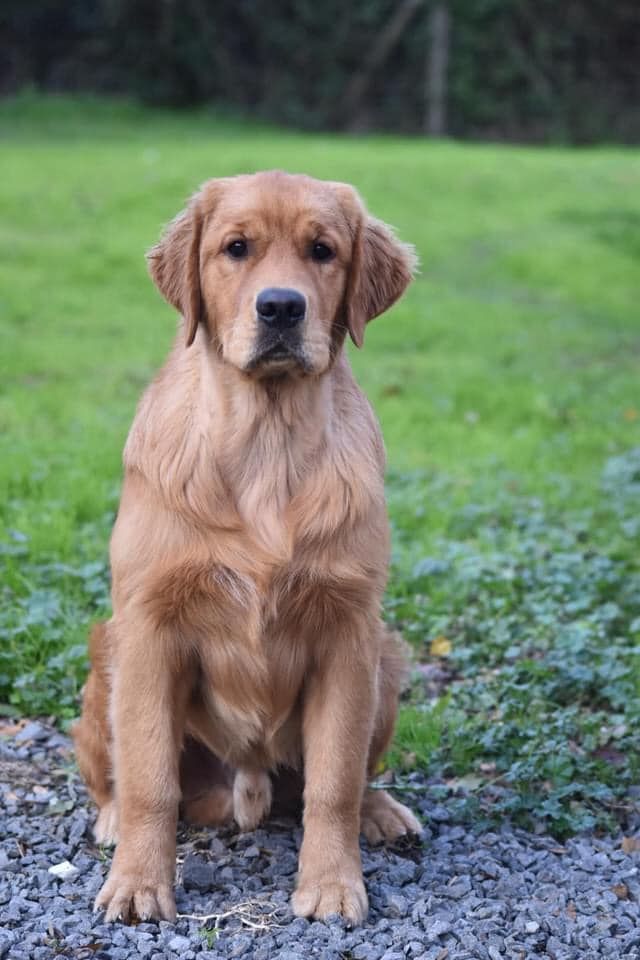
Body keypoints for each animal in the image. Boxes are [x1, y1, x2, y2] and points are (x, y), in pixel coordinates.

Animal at [71, 169, 420, 928]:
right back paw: (110, 824)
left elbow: (334, 782)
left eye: (322, 250)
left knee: (343, 780)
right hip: (106, 660)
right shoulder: (151, 627)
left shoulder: (347, 631)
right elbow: (149, 780)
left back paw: (382, 812)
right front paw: (138, 884)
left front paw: (331, 884)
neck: (268, 440)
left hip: (385, 658)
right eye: (236, 248)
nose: (282, 307)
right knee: (119, 781)